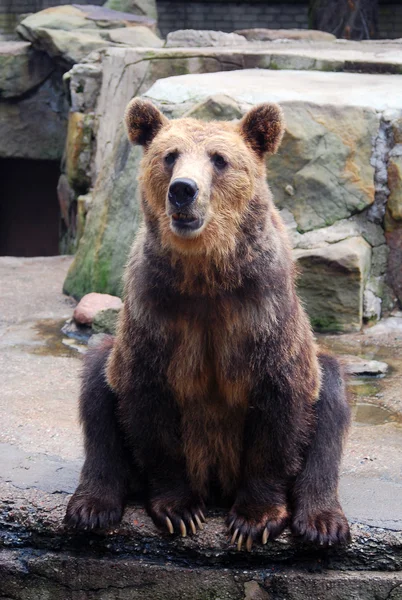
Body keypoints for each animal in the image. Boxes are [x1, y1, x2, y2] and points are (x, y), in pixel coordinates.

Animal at [64, 97, 350, 548]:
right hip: (114, 359)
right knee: (98, 392)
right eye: (169, 156)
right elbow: (149, 405)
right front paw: (180, 511)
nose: (183, 190)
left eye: (219, 159)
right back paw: (92, 506)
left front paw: (255, 519)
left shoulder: (263, 313)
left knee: (330, 403)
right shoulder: (156, 311)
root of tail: (217, 485)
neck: (207, 274)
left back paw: (322, 523)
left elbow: (279, 408)